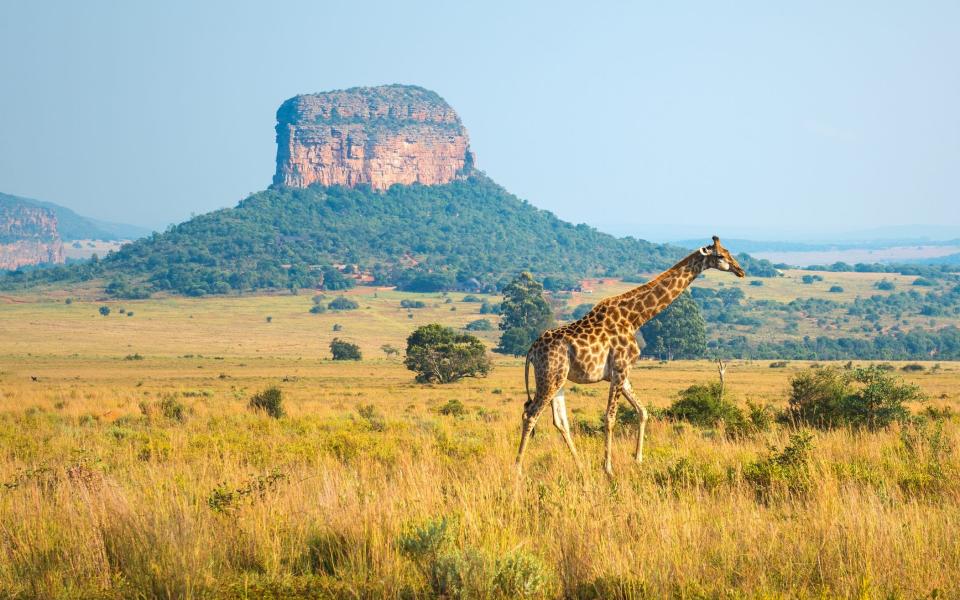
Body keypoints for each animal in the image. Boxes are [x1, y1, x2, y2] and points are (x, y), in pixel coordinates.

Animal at [512, 237, 748, 476]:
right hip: (550, 377)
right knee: (530, 414)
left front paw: (638, 459)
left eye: (729, 252)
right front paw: (608, 468)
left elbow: (642, 411)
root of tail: (531, 351)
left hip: (558, 379)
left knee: (560, 421)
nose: (740, 270)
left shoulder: (622, 373)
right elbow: (610, 418)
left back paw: (580, 466)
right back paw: (518, 469)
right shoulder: (619, 369)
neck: (635, 318)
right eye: (720, 255)